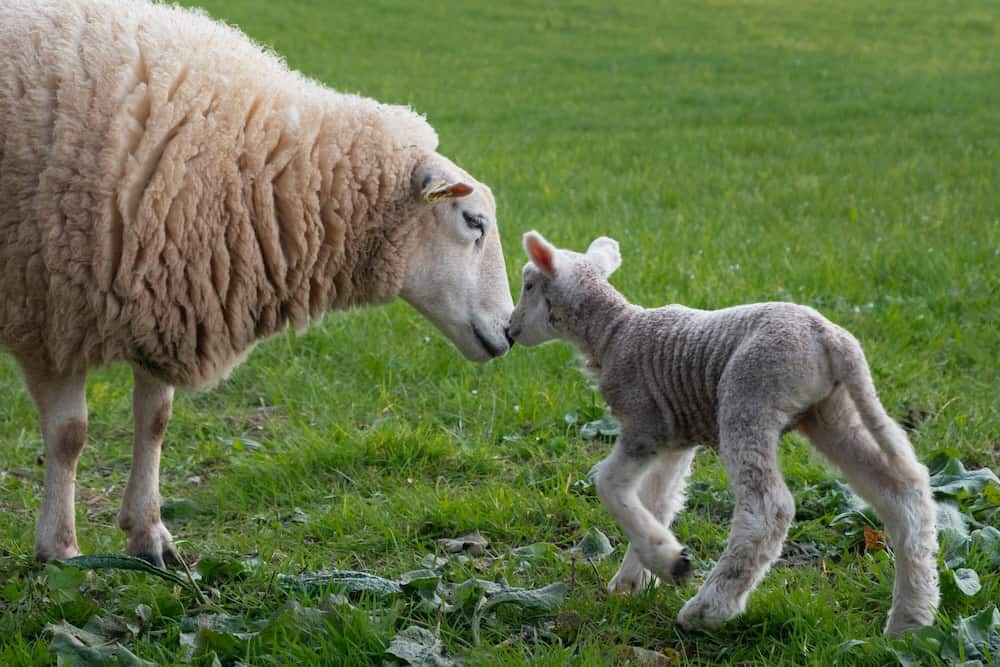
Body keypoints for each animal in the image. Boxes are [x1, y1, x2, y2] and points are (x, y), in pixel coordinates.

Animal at [0, 0, 515, 566]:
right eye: (473, 221)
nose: (510, 331)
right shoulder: (48, 311)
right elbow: (70, 435)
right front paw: (59, 549)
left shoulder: (161, 295)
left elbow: (155, 420)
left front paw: (149, 535)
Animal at [508, 231, 939, 635]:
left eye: (528, 285)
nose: (509, 330)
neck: (613, 331)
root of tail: (832, 340)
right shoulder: (675, 441)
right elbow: (657, 502)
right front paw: (638, 578)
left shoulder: (646, 424)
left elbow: (610, 484)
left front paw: (669, 564)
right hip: (832, 411)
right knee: (901, 493)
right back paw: (910, 619)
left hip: (748, 399)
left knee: (769, 509)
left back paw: (708, 609)